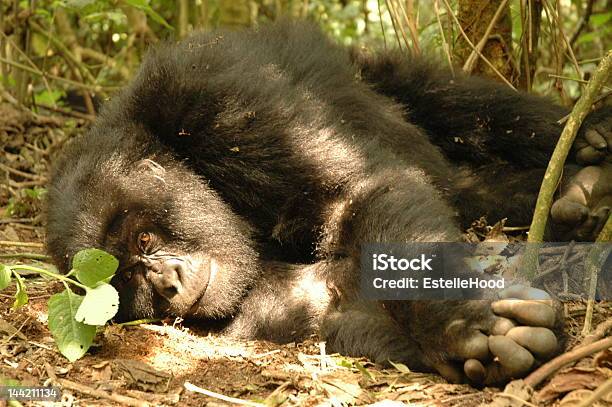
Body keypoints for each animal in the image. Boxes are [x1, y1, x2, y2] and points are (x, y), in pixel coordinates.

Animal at [46, 21, 612, 386]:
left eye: (144, 237)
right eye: (125, 277)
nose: (165, 281)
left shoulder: (214, 100)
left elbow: (357, 192)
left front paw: (459, 321)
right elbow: (328, 296)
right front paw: (447, 335)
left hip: (372, 66)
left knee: (457, 102)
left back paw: (586, 135)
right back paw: (574, 199)